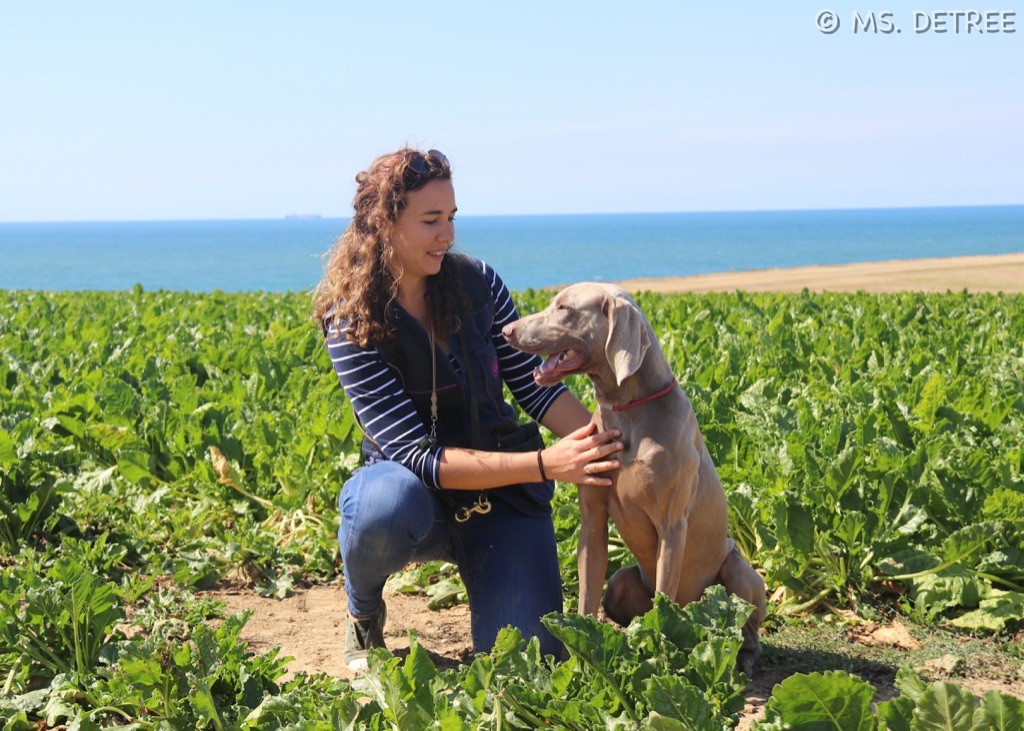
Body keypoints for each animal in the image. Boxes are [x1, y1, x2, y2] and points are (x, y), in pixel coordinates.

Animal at [507, 280, 765, 671]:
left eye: (564, 308)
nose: (507, 331)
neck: (627, 410)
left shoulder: (672, 526)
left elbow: (663, 601)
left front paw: (658, 651)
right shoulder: (592, 522)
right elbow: (586, 596)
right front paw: (578, 657)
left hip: (737, 572)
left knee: (744, 626)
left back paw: (738, 657)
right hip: (620, 585)